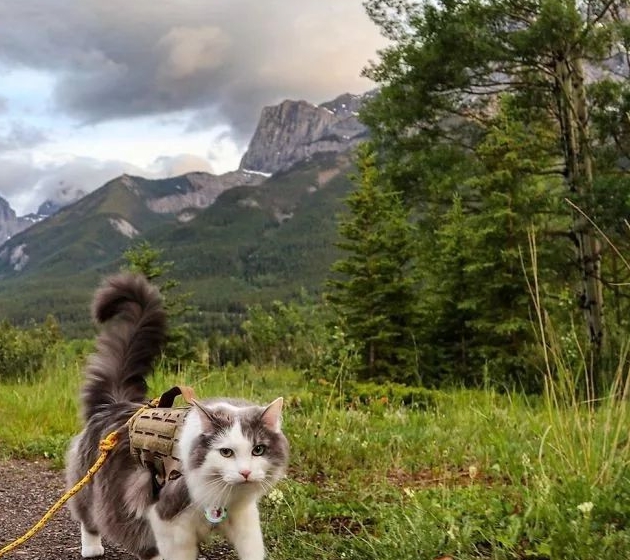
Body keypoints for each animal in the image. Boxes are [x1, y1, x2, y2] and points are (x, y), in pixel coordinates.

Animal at [65, 274, 290, 560]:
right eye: (226, 452)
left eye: (258, 450)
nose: (246, 472)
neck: (223, 495)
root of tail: (114, 403)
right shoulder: (169, 519)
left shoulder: (243, 519)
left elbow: (252, 550)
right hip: (105, 491)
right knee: (90, 518)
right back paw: (93, 548)